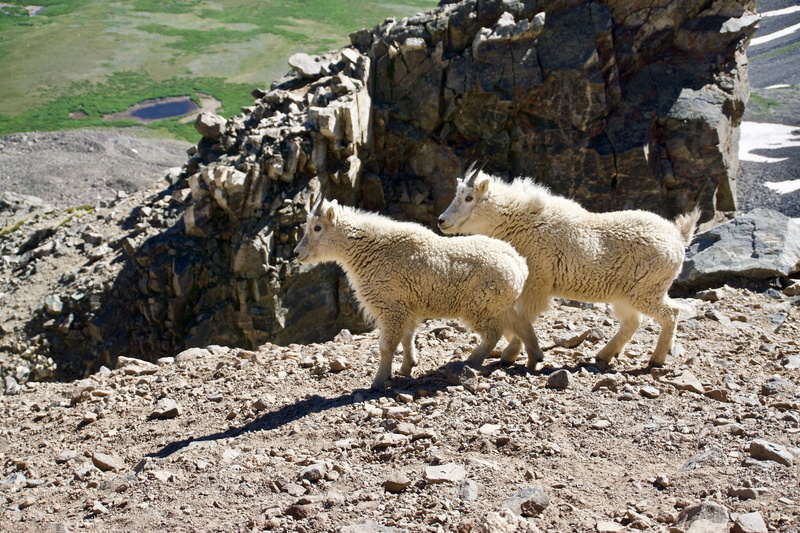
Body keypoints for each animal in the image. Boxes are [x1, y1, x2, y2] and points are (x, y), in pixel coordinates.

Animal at [293, 196, 543, 389]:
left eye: (317, 228)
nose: (297, 253)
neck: (367, 250)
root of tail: (520, 265)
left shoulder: (391, 308)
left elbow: (387, 347)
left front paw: (378, 382)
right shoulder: (407, 308)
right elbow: (407, 338)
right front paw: (407, 367)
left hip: (478, 307)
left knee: (494, 333)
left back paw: (471, 361)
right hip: (498, 304)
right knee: (522, 325)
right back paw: (533, 358)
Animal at [437, 166, 700, 368]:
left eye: (469, 198)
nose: (442, 221)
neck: (518, 221)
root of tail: (679, 237)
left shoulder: (537, 283)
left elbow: (524, 318)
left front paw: (510, 355)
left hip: (647, 289)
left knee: (671, 312)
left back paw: (657, 359)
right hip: (627, 294)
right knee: (632, 321)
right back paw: (604, 355)